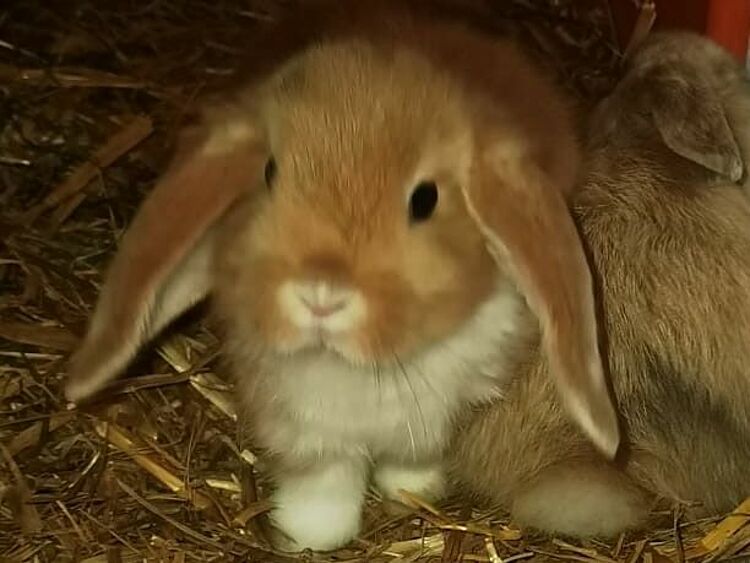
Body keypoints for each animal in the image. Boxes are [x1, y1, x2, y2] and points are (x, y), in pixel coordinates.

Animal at [61, 0, 621, 552]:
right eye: (269, 172)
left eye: (425, 199)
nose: (321, 295)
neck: (356, 367)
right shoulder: (301, 428)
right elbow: (323, 483)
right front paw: (307, 536)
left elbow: (408, 459)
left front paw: (412, 491)